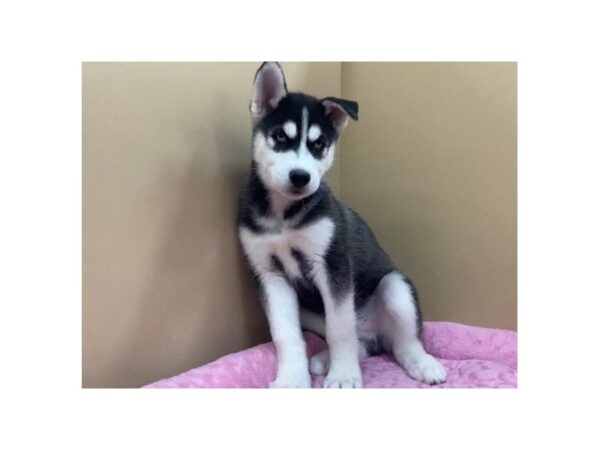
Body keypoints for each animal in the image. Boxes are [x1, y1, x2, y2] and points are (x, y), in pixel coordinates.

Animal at [238, 62, 446, 386]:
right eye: (280, 137)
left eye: (319, 144)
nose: (301, 177)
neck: (284, 216)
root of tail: (375, 333)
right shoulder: (270, 275)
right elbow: (286, 335)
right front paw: (292, 379)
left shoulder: (333, 267)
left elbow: (340, 330)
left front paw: (344, 376)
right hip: (310, 309)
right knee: (363, 343)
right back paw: (322, 360)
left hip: (395, 286)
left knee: (403, 342)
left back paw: (422, 363)